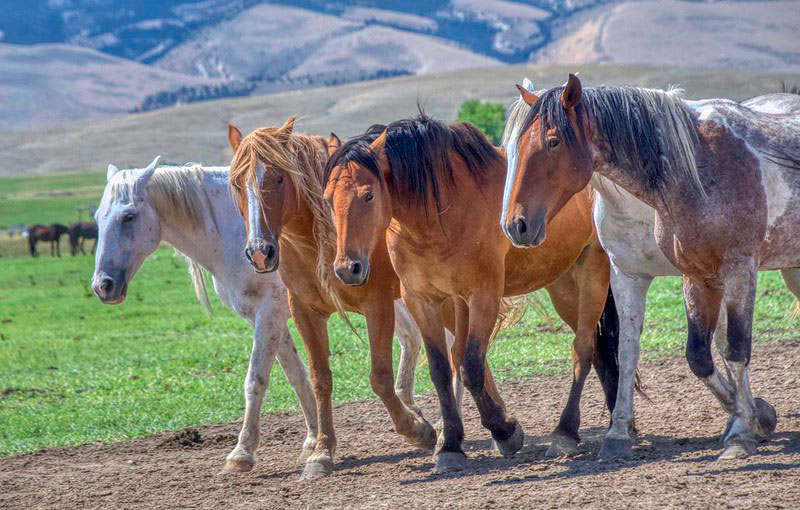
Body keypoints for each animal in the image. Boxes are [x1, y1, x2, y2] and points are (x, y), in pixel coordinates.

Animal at [91, 157, 424, 472]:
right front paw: (313, 442)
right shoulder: (270, 318)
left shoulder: (269, 314)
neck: (235, 232)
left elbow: (256, 380)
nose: (102, 286)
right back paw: (412, 412)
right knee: (411, 338)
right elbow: (298, 375)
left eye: (128, 216)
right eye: (97, 218)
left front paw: (242, 453)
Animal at [324, 112, 620, 474]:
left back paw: (566, 432)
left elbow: (472, 367)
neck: (442, 213)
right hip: (561, 284)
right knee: (599, 348)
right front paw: (450, 445)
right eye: (327, 199)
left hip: (593, 271)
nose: (346, 268)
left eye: (368, 195)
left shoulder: (484, 297)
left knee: (584, 348)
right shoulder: (425, 301)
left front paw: (505, 432)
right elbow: (442, 371)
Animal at [500, 73, 800, 460]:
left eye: (552, 142)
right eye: (513, 147)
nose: (515, 226)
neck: (699, 169)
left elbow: (735, 349)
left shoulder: (738, 270)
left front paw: (742, 432)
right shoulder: (689, 275)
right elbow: (687, 355)